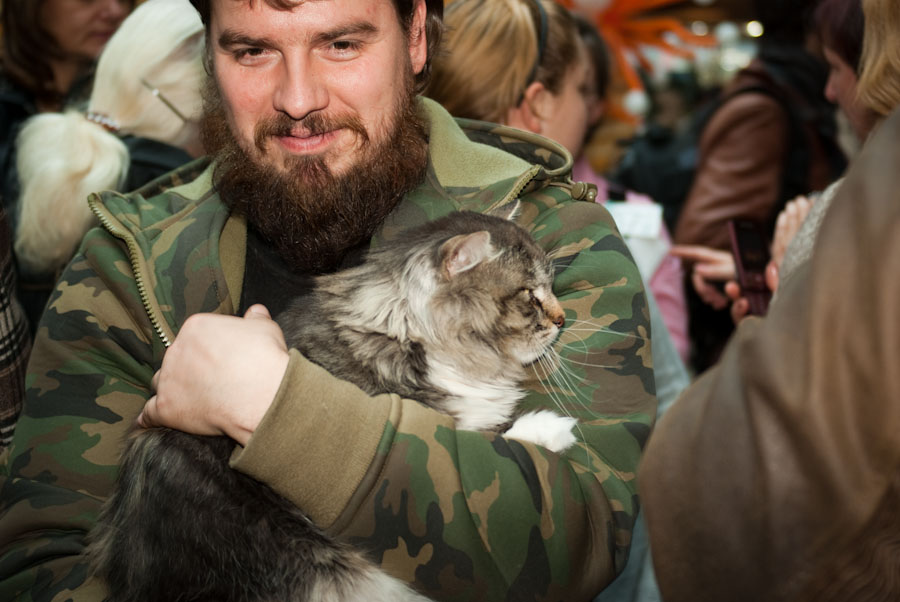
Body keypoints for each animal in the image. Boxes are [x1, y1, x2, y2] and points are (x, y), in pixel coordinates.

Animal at [88, 207, 578, 602]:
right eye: (530, 295)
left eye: (551, 288)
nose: (562, 320)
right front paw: (550, 429)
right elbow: (481, 435)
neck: (407, 333)